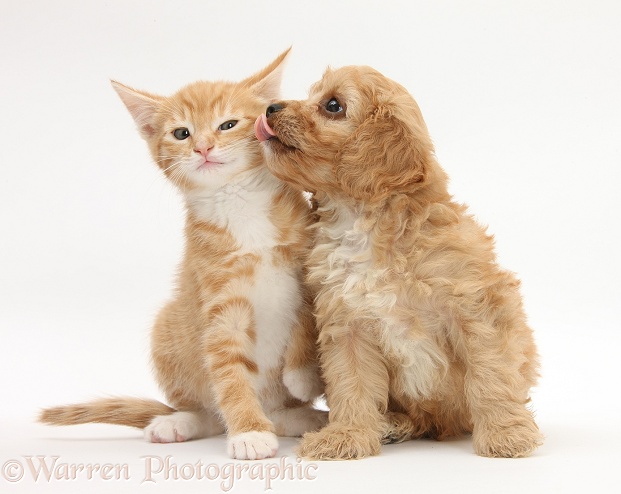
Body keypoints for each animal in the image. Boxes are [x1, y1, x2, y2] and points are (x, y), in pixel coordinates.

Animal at [40, 49, 324, 460]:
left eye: (227, 125)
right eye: (181, 133)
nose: (202, 147)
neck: (240, 206)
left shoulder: (305, 265)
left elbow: (305, 316)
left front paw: (302, 375)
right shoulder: (219, 303)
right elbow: (229, 372)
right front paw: (249, 432)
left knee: (276, 413)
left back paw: (301, 416)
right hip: (169, 324)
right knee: (210, 413)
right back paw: (180, 422)